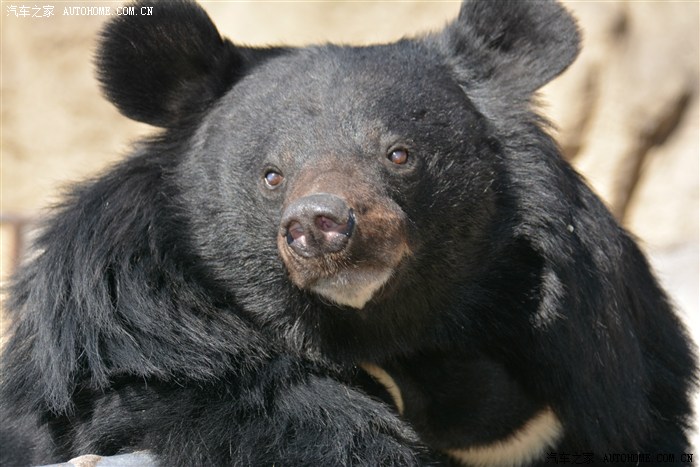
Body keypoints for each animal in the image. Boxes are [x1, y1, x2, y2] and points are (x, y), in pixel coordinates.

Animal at [2, 0, 696, 466]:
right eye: (272, 175)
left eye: (399, 154)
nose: (320, 223)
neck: (389, 344)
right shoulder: (140, 334)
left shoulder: (596, 368)